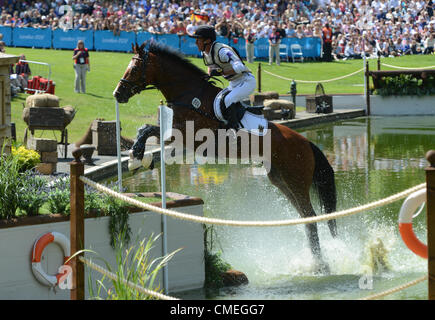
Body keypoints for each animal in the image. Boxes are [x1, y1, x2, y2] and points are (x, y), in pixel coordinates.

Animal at [114, 41, 338, 274]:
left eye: (134, 69)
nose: (117, 94)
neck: (188, 95)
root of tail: (306, 143)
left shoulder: (185, 134)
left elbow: (148, 129)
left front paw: (136, 156)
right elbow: (145, 130)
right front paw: (137, 159)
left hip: (296, 180)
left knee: (311, 216)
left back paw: (320, 265)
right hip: (281, 180)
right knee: (305, 217)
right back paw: (315, 262)